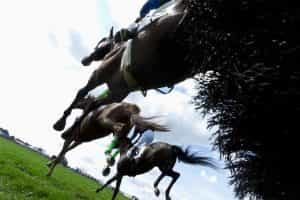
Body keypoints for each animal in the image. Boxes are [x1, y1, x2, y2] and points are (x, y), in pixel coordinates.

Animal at [53, 0, 190, 131]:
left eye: (101, 43)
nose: (85, 60)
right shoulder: (117, 93)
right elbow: (93, 104)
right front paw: (73, 126)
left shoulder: (98, 76)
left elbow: (82, 92)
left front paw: (61, 122)